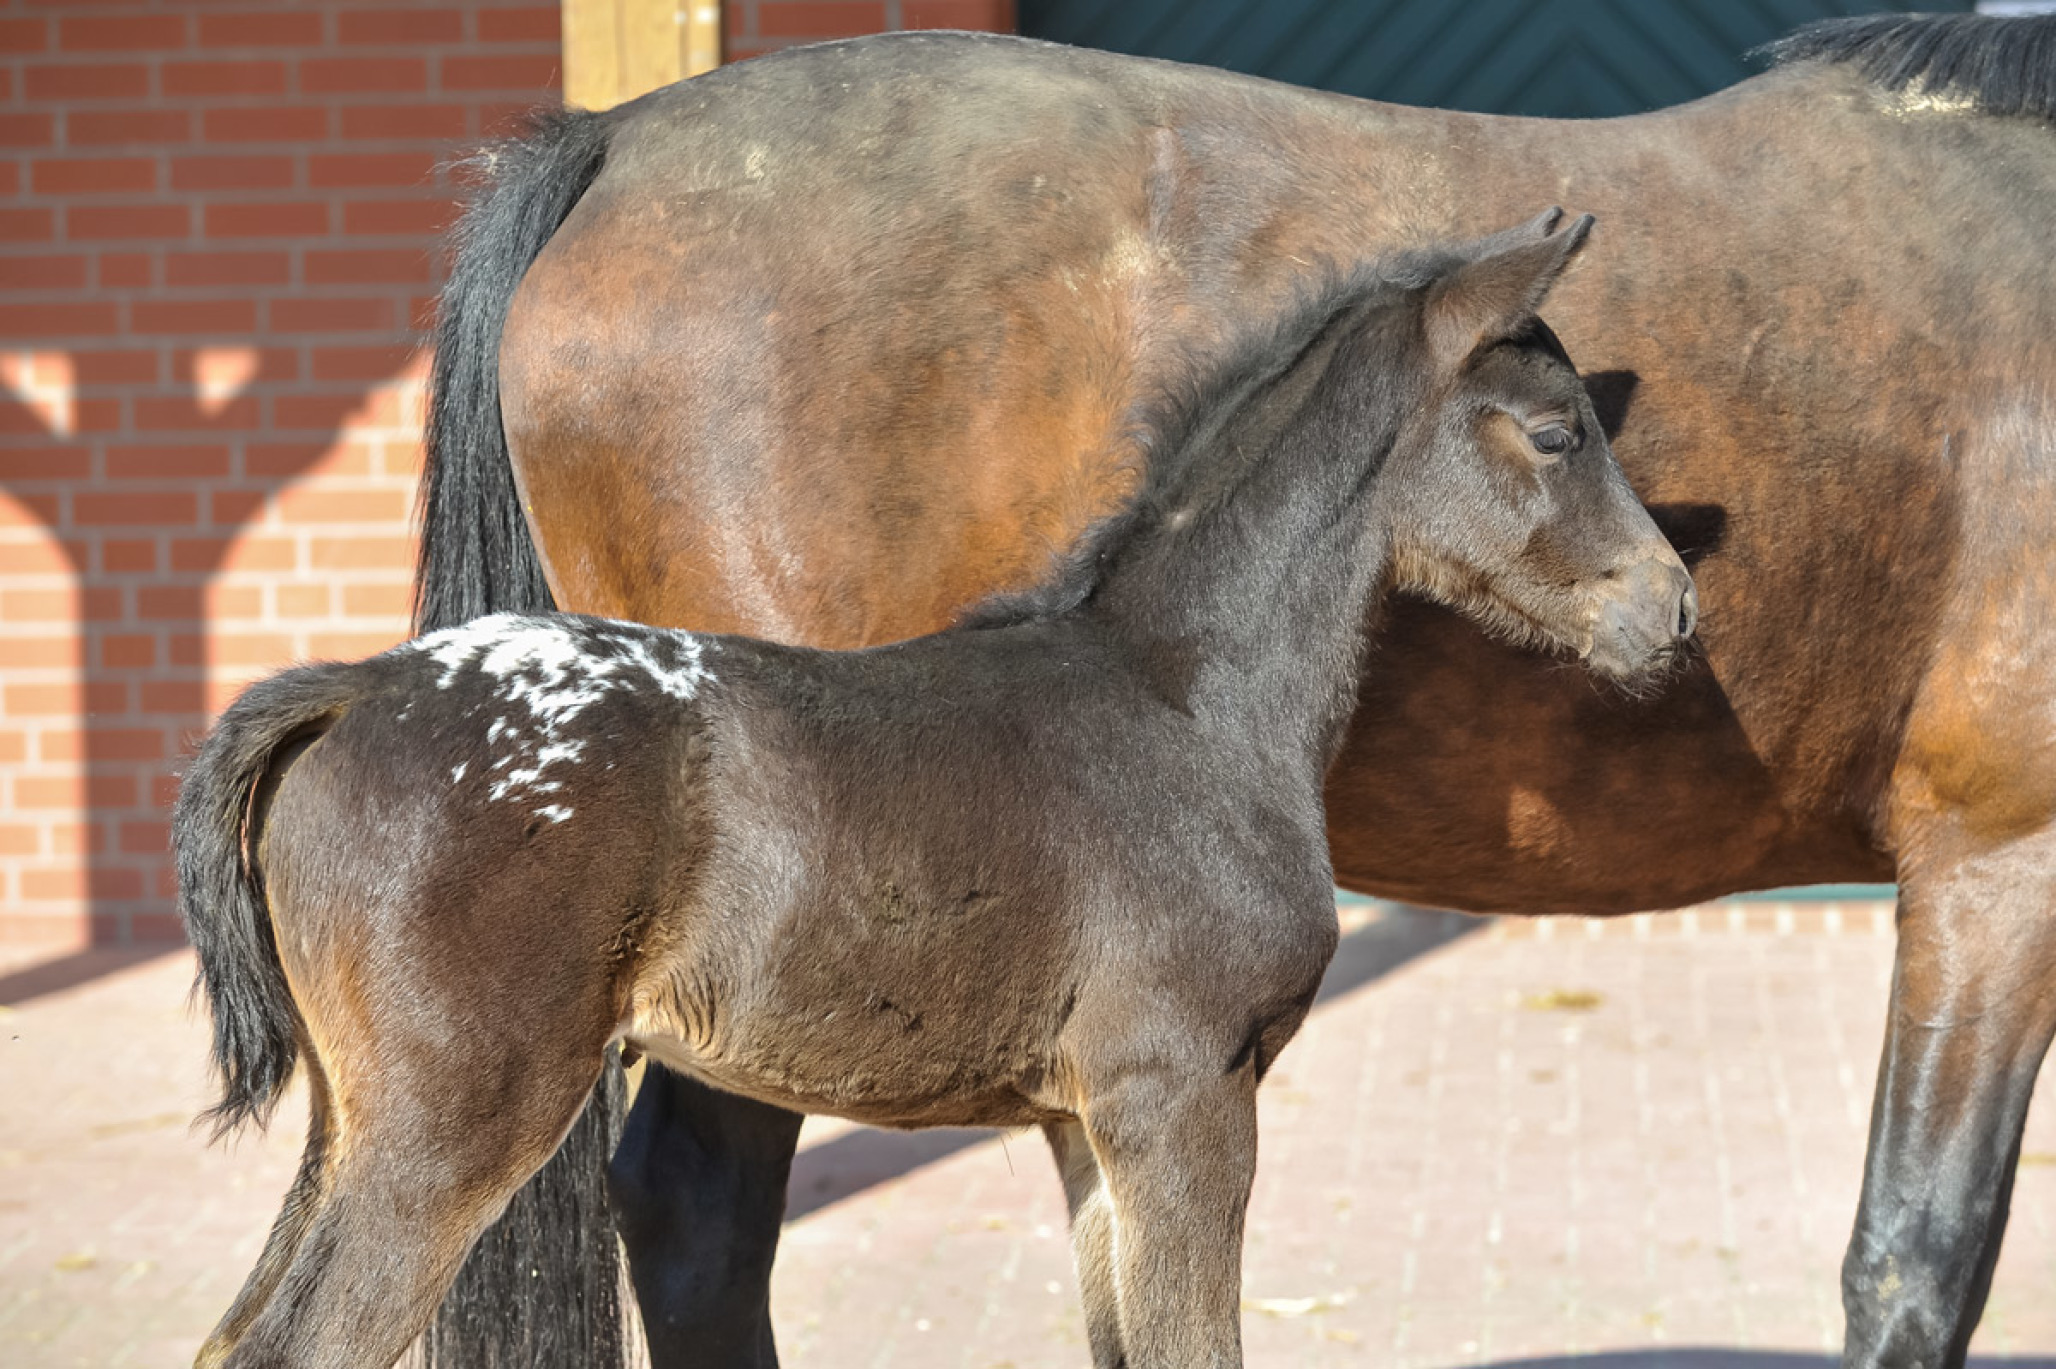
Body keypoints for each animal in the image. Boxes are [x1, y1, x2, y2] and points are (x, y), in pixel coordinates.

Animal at [172, 213, 1685, 1364]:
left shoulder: (1086, 1121)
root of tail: (356, 690)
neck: (1188, 699)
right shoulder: (1185, 1092)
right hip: (453, 1124)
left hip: (349, 1121)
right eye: (1555, 433)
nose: (1670, 608)